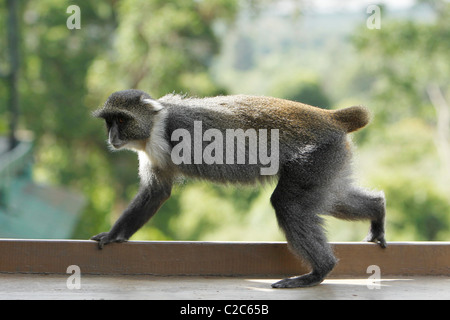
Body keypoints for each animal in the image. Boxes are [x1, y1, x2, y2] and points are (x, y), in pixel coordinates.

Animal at [91, 89, 386, 288]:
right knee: (334, 198)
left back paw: (319, 271)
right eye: (109, 121)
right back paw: (377, 211)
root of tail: (332, 118)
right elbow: (156, 193)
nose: (112, 137)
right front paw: (113, 236)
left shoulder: (179, 129)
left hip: (316, 157)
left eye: (121, 120)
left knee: (289, 206)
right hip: (330, 162)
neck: (155, 124)